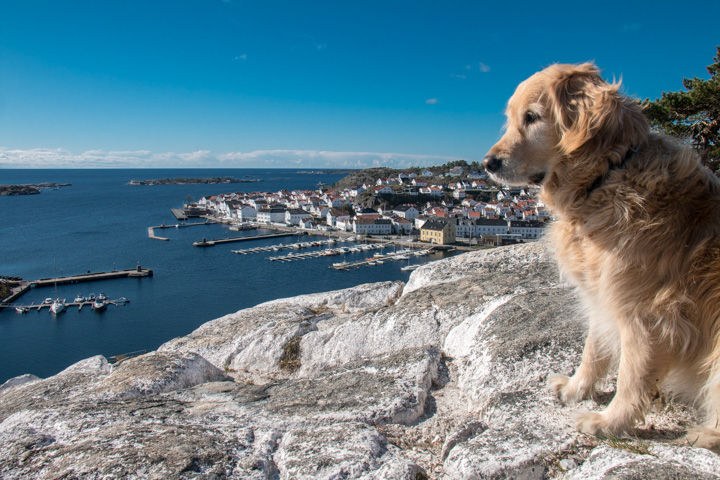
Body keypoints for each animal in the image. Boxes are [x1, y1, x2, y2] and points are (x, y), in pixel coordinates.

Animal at [480, 62, 720, 450]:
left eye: (532, 117)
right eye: (511, 118)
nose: (487, 163)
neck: (606, 176)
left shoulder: (647, 312)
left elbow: (632, 376)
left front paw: (610, 423)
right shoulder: (602, 295)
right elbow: (594, 349)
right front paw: (577, 388)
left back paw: (704, 433)